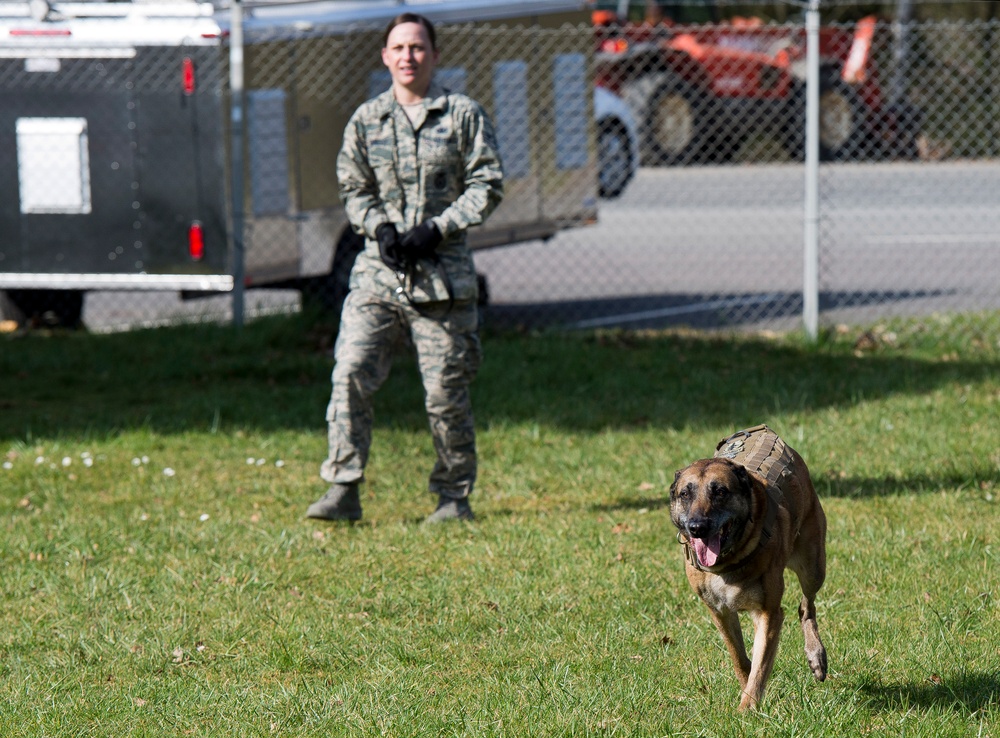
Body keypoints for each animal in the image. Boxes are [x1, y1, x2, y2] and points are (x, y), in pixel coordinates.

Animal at [668, 426, 824, 708]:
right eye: (685, 494)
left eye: (720, 492)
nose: (697, 527)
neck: (729, 561)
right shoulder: (720, 613)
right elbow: (740, 659)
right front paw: (747, 690)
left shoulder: (768, 612)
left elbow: (760, 666)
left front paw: (748, 707)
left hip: (813, 565)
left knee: (807, 605)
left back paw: (816, 656)